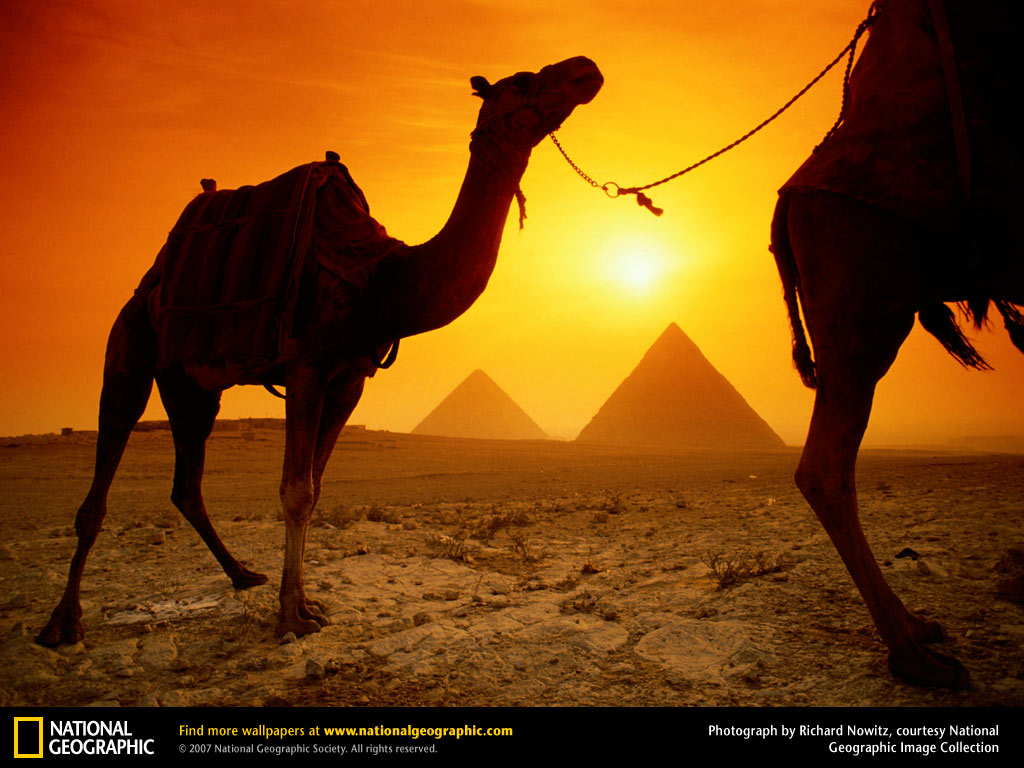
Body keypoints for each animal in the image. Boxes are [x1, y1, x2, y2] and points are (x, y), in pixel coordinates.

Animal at [36, 56, 603, 646]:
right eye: (524, 80)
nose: (585, 68)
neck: (381, 277)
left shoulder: (350, 377)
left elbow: (316, 484)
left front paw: (305, 602)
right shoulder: (306, 367)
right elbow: (296, 490)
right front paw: (293, 616)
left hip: (191, 384)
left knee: (186, 484)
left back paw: (243, 574)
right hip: (130, 346)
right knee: (105, 466)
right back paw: (63, 621)